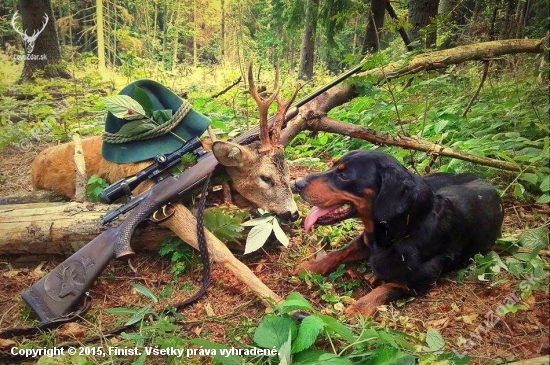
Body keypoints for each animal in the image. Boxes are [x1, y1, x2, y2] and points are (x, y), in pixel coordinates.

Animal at [296, 150, 506, 316]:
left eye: (344, 175)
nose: (296, 183)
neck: (401, 229)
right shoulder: (365, 240)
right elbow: (339, 252)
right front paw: (310, 266)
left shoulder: (418, 282)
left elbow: (385, 288)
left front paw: (359, 308)